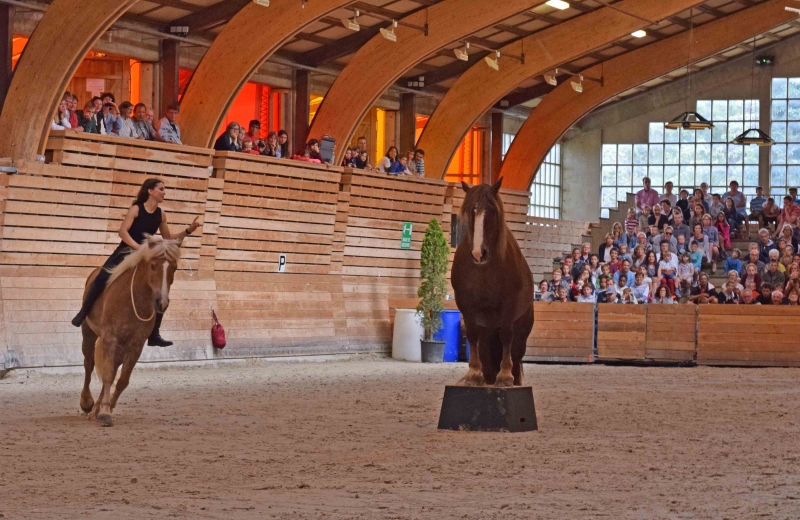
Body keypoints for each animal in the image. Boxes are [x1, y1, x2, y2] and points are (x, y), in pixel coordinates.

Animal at [79, 236, 181, 426]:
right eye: (153, 265)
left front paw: (106, 408)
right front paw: (104, 411)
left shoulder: (136, 345)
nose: (162, 302)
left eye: (174, 267)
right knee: (89, 364)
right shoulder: (109, 338)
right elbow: (107, 375)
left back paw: (95, 408)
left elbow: (121, 380)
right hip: (89, 333)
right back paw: (87, 403)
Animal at [454, 179, 536, 386]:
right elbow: (472, 334)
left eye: (492, 210)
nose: (478, 253)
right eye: (472, 210)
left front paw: (505, 375)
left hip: (522, 330)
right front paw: (474, 373)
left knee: (516, 352)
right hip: (487, 332)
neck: (485, 268)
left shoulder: (508, 305)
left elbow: (506, 335)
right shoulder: (466, 305)